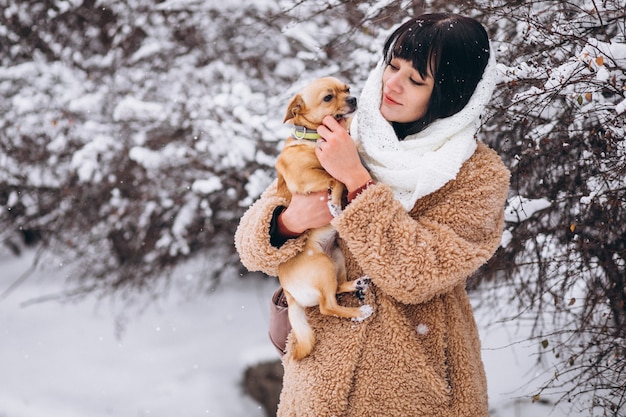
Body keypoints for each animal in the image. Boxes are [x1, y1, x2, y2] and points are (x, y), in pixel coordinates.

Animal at [274, 77, 370, 358]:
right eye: (328, 97)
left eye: (347, 89)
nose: (354, 99)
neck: (314, 137)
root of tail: (290, 294)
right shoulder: (306, 176)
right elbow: (334, 177)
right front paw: (335, 203)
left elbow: (340, 175)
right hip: (323, 266)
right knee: (328, 306)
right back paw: (360, 311)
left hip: (335, 256)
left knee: (336, 289)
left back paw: (357, 283)